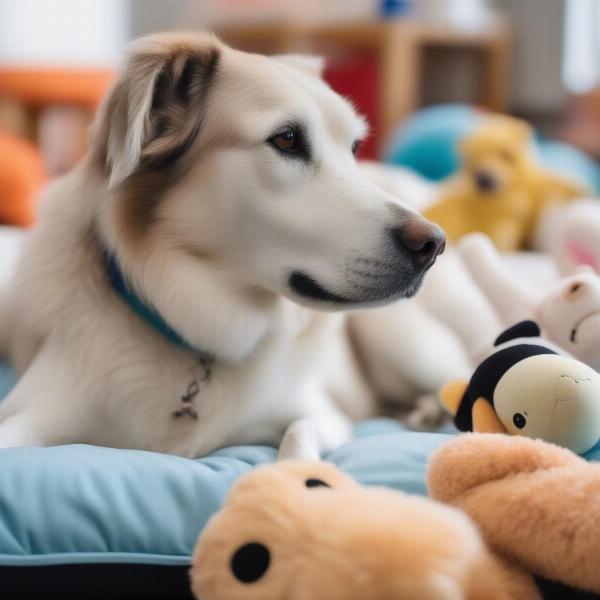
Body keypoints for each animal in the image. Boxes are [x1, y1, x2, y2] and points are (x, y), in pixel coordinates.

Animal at [0, 31, 442, 454]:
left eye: (353, 149)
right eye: (286, 139)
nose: (433, 244)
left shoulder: (325, 418)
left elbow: (298, 436)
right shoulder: (38, 405)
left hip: (408, 342)